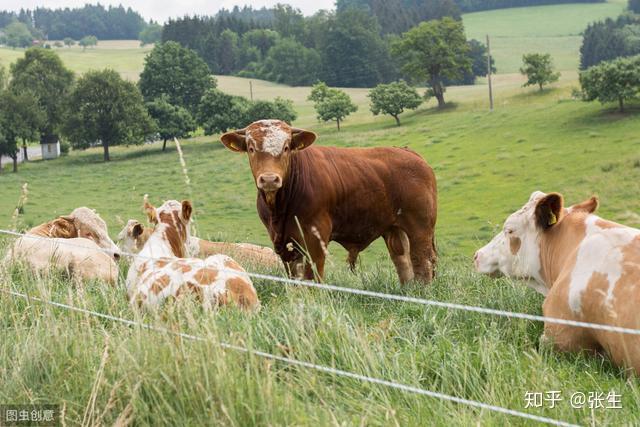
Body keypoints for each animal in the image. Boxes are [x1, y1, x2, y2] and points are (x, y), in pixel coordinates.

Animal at [219, 119, 436, 284]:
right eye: (251, 148)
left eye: (286, 147)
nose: (270, 179)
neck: (279, 210)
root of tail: (408, 152)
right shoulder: (283, 242)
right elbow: (295, 277)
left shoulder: (316, 238)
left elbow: (312, 277)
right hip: (394, 228)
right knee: (403, 261)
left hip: (420, 228)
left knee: (423, 262)